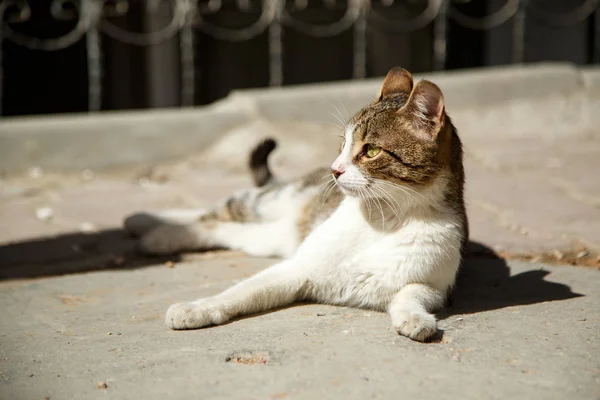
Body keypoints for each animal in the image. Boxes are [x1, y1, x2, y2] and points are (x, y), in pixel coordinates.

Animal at [123, 67, 468, 342]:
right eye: (343, 144)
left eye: (370, 151)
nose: (334, 169)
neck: (384, 217)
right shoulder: (297, 268)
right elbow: (240, 292)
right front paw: (197, 308)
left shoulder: (436, 286)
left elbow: (411, 294)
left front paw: (415, 319)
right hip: (269, 204)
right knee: (217, 211)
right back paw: (144, 223)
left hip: (270, 237)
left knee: (223, 228)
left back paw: (155, 234)